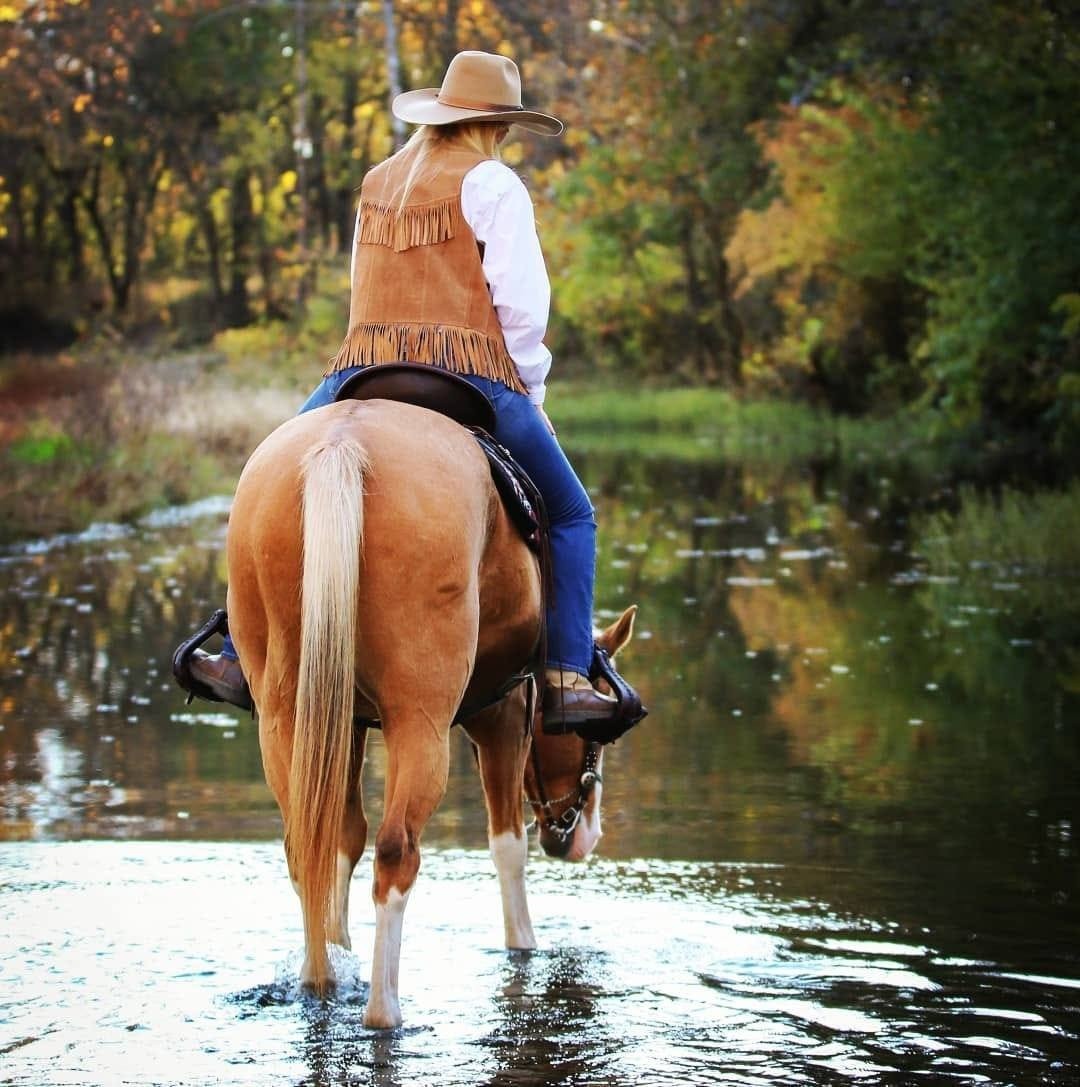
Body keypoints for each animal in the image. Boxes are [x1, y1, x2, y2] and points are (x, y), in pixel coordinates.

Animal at [223, 396, 638, 1028]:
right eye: (594, 736)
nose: (581, 836)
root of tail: (342, 444)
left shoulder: (347, 724)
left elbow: (341, 839)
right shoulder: (503, 714)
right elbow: (507, 847)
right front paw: (524, 945)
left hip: (287, 717)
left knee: (307, 844)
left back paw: (320, 981)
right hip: (421, 726)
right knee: (397, 850)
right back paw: (383, 1009)